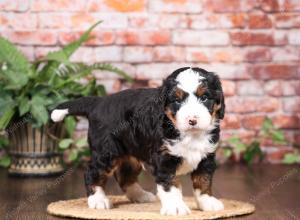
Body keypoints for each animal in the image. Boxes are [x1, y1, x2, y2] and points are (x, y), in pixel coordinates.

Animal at [51, 66, 225, 215]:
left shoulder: (207, 157)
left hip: (131, 151)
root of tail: (99, 103)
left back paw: (140, 196)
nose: (192, 120)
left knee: (125, 176)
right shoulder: (164, 159)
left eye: (204, 97)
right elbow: (171, 185)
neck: (190, 135)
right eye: (177, 100)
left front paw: (207, 203)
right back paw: (98, 200)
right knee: (92, 172)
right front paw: (175, 207)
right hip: (107, 151)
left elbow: (203, 181)